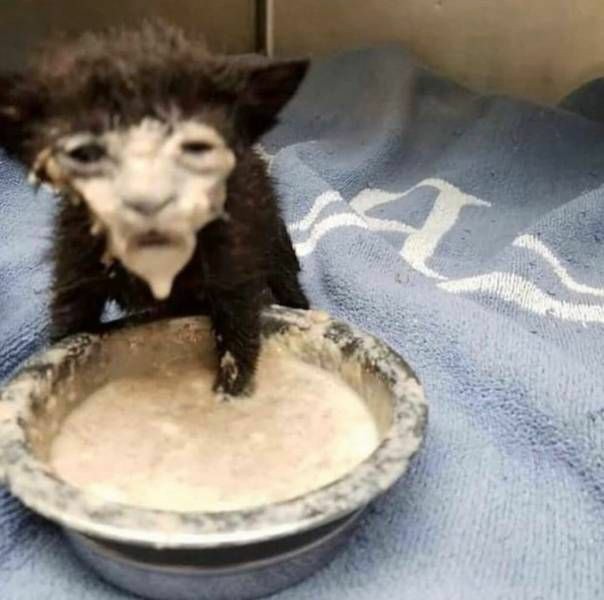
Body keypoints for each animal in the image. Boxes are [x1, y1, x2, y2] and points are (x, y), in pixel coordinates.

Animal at [0, 21, 309, 396]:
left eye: (194, 147)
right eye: (86, 153)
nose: (146, 203)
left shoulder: (233, 259)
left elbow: (239, 337)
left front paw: (229, 396)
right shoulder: (75, 267)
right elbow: (67, 333)